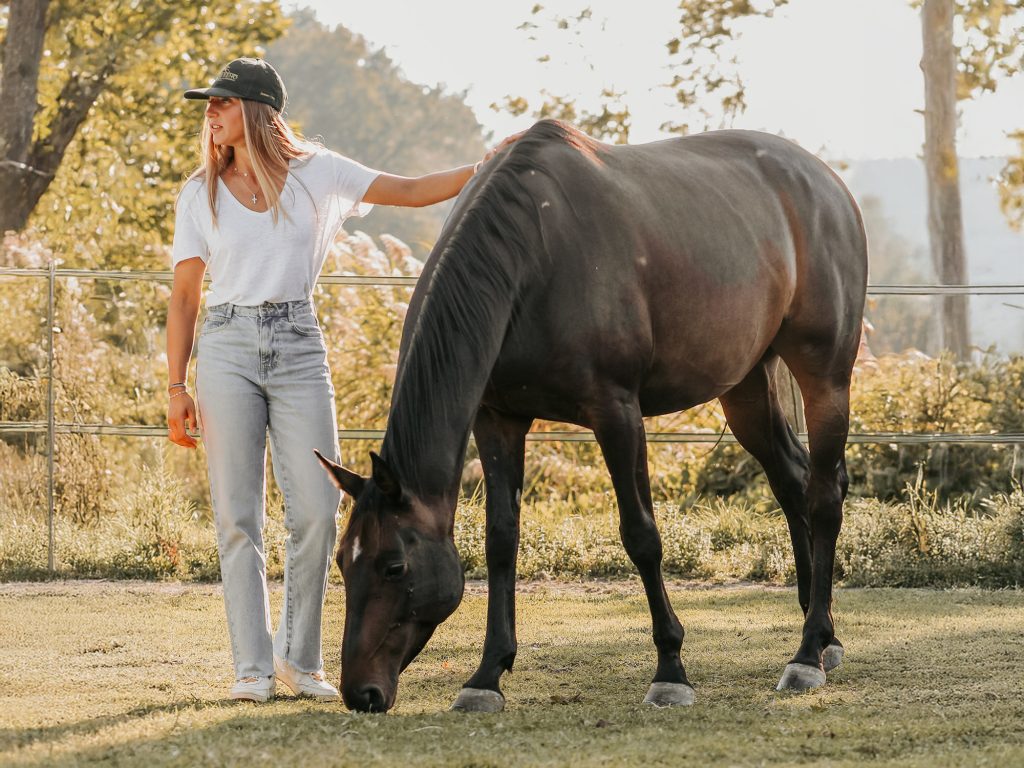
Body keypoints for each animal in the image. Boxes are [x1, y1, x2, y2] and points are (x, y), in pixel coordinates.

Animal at [316, 119, 867, 713]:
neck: (534, 255)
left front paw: (670, 669)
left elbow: (641, 535)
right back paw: (823, 632)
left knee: (823, 494)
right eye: (343, 562)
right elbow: (501, 540)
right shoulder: (498, 419)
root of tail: (828, 184)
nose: (361, 692)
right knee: (791, 481)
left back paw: (807, 654)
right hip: (745, 384)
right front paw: (487, 674)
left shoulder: (617, 413)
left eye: (394, 565)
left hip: (825, 376)